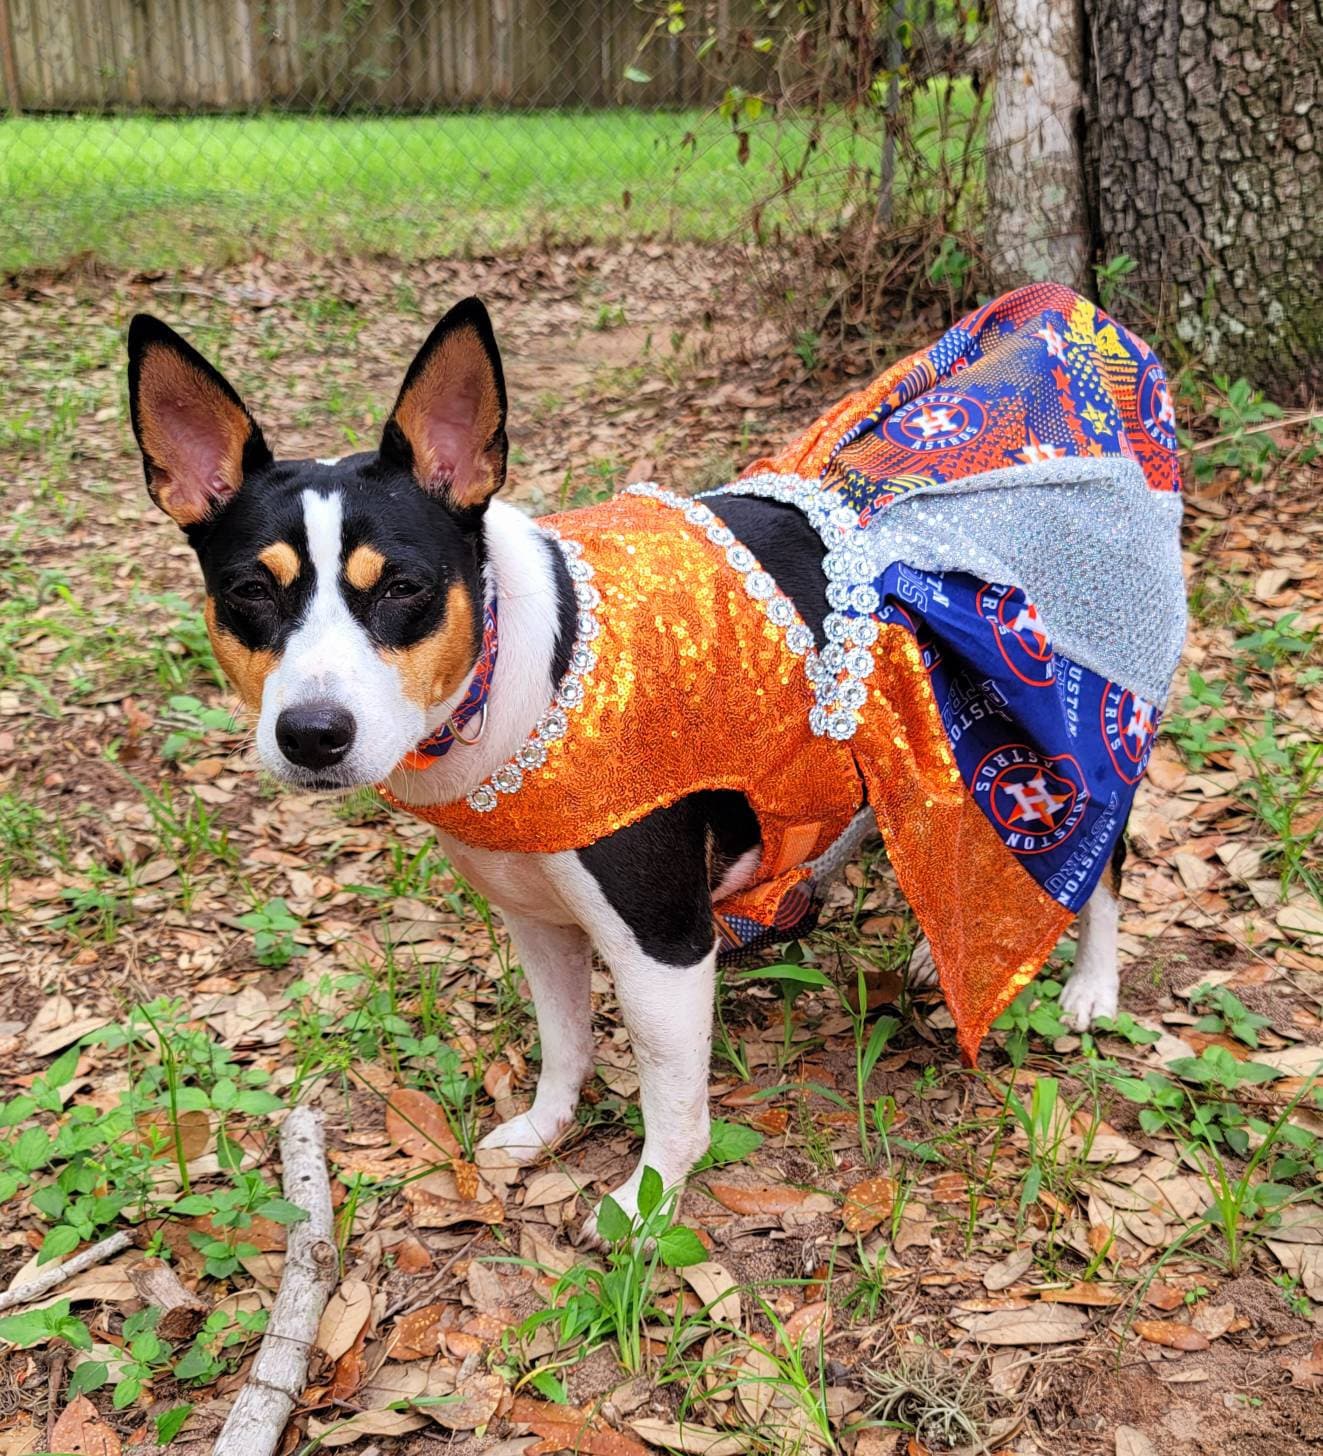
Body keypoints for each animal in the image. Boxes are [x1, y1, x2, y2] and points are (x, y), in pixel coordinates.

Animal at [128, 281, 1187, 1228]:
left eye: (402, 589)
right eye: (247, 594)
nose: (314, 733)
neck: (527, 674)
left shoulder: (662, 945)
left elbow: (669, 1100)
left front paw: (645, 1207)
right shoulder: (537, 921)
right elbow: (563, 1039)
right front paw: (546, 1128)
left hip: (1069, 729)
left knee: (1098, 863)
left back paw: (1088, 985)